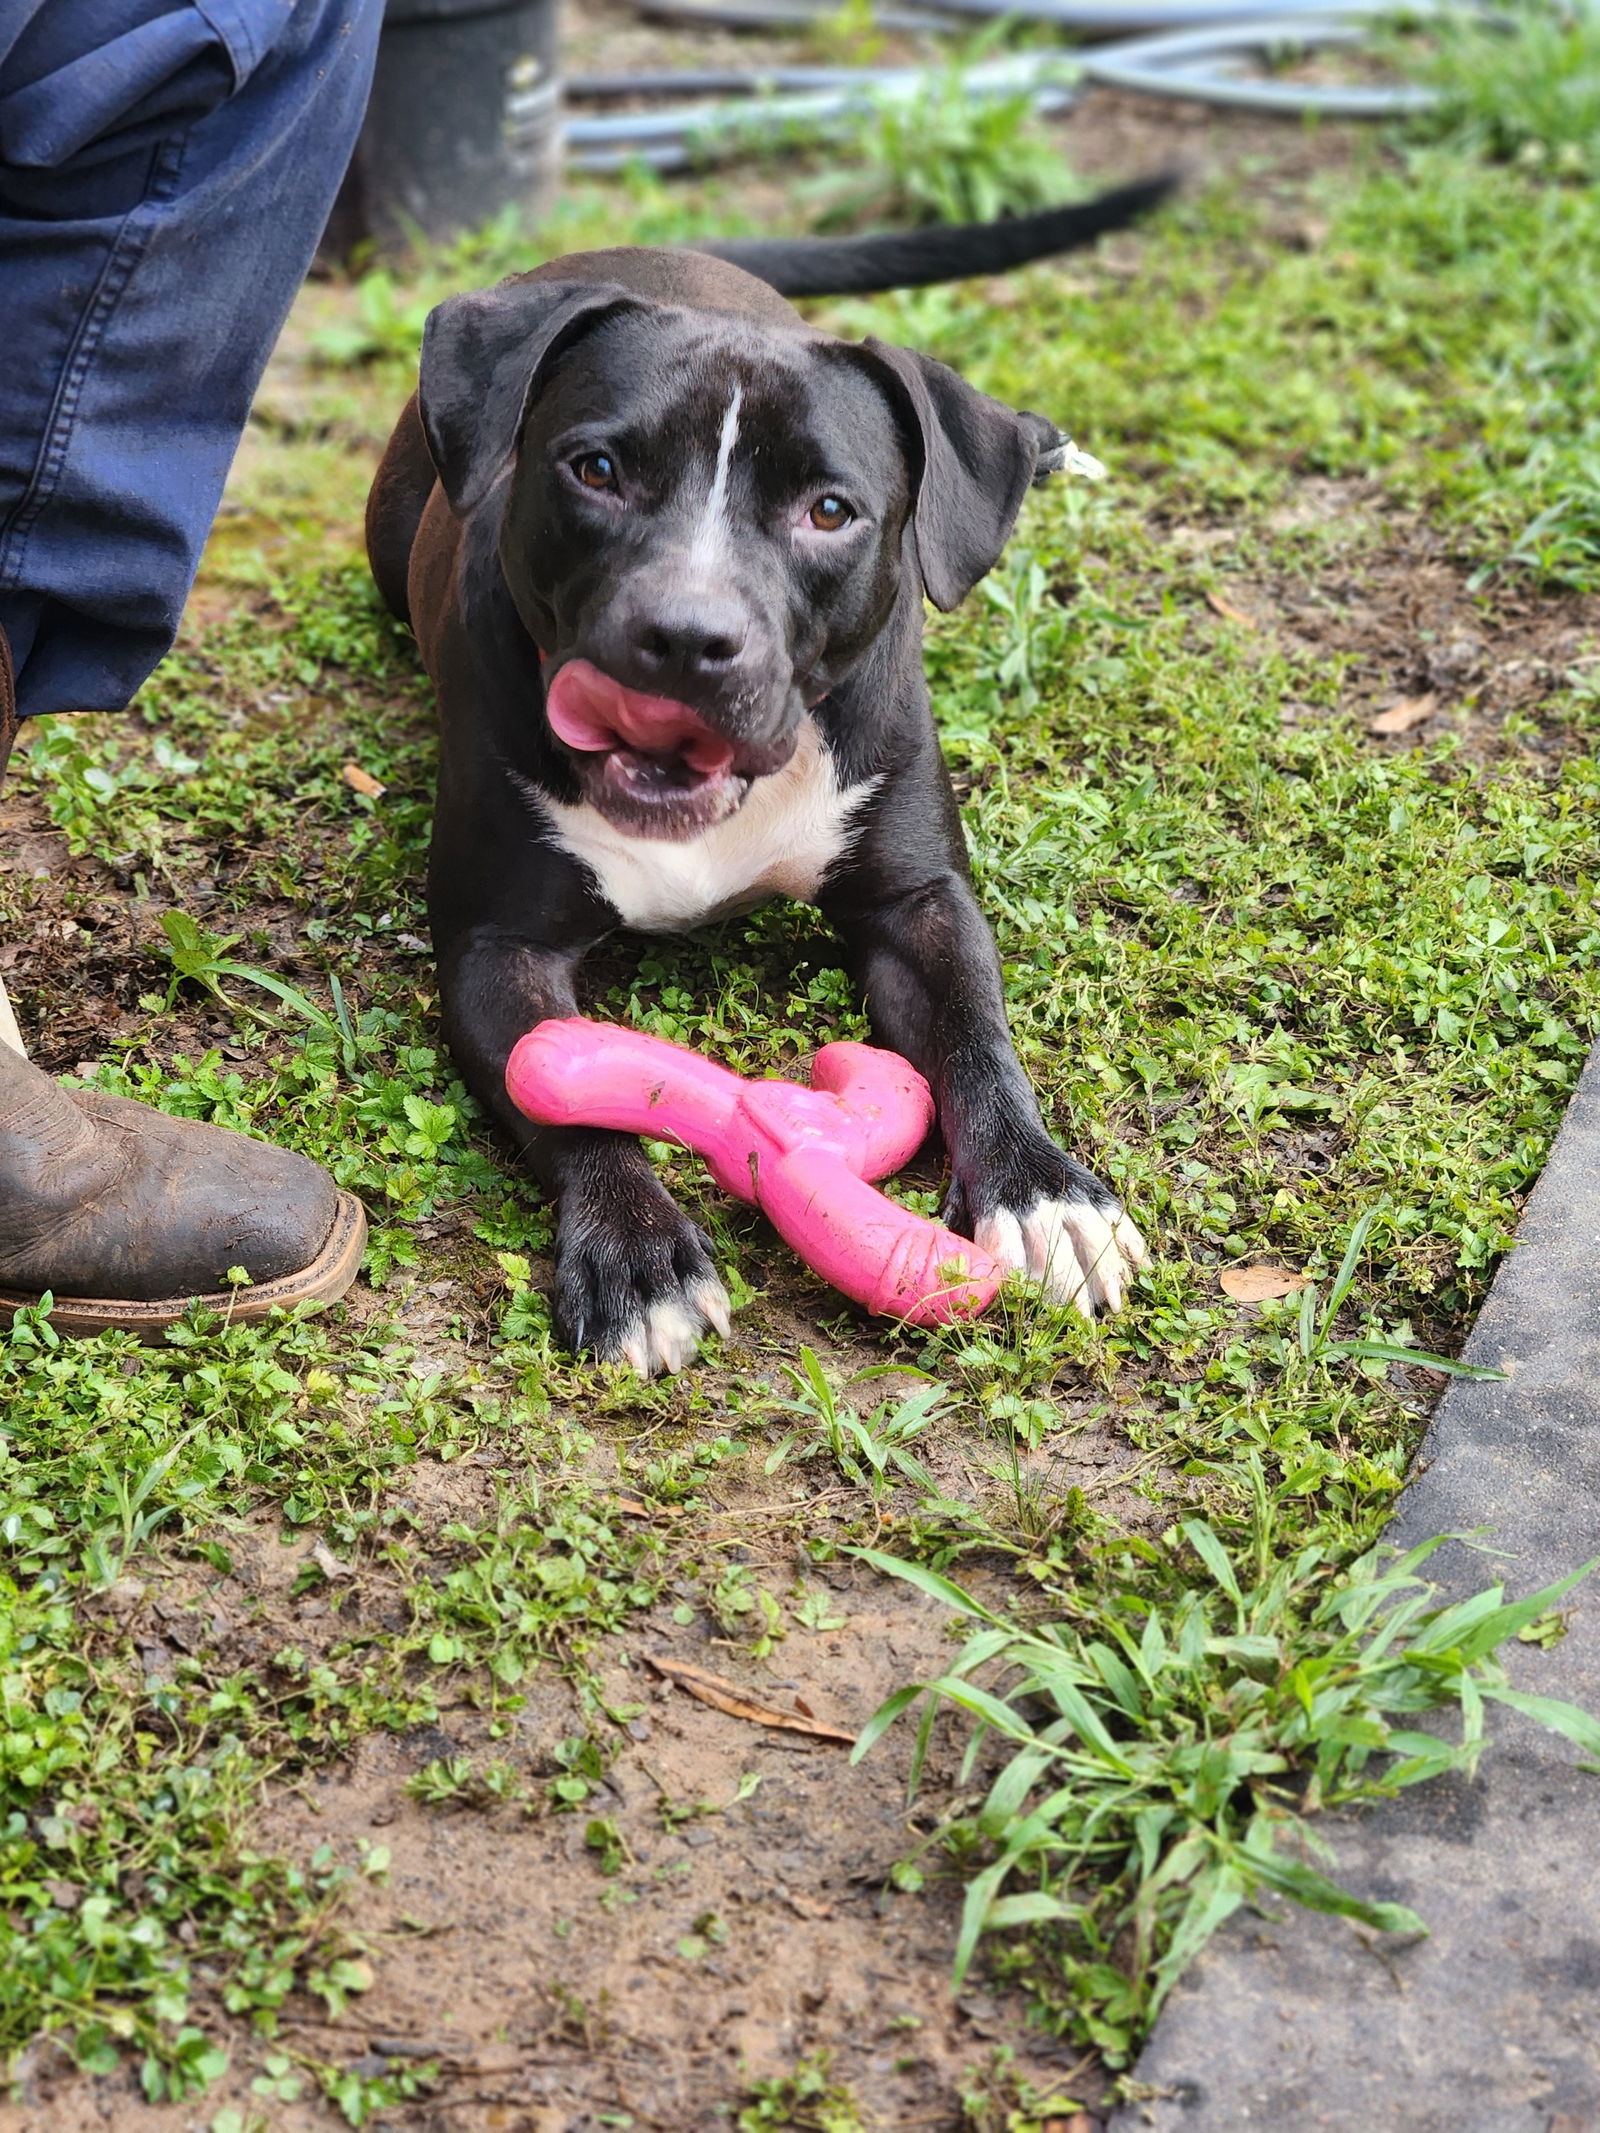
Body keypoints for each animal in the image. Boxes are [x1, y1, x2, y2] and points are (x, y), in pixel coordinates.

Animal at [366, 191, 1169, 1373]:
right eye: (594, 469)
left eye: (829, 511)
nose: (685, 639)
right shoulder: (493, 949)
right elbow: (566, 1088)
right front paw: (637, 1257)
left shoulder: (918, 900)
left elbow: (976, 1031)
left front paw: (1041, 1195)